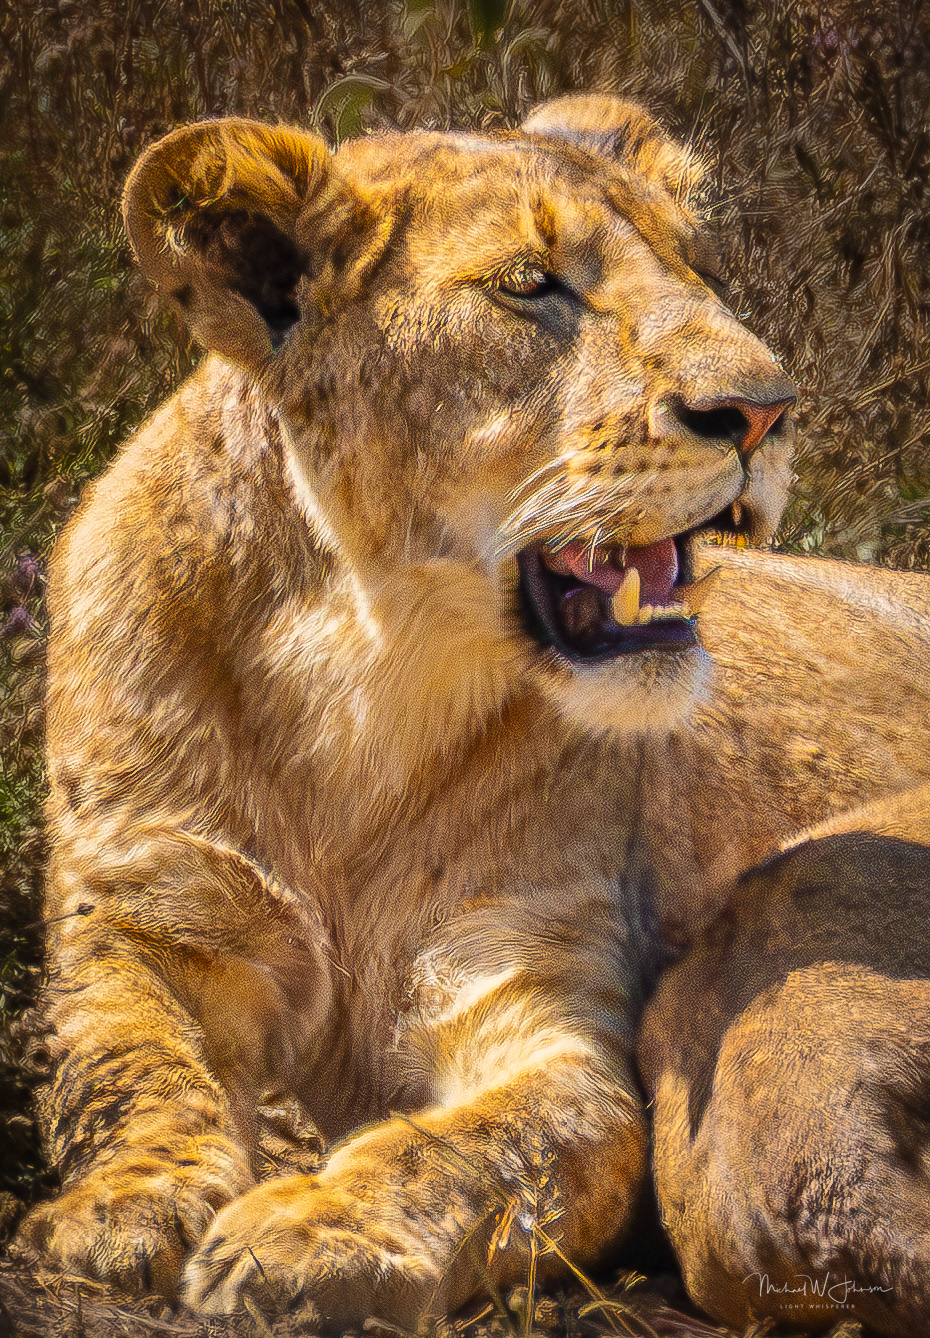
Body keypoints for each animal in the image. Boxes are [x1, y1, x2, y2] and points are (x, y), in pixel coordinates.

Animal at [19, 94, 930, 1329]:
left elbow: (465, 1146)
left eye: (694, 268)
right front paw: (121, 1207)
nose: (765, 411)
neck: (359, 690)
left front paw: (312, 1229)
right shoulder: (148, 920)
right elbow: (125, 1065)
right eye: (529, 286)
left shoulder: (539, 1006)